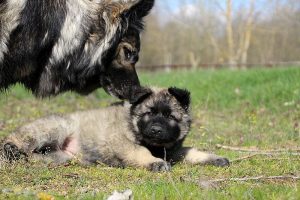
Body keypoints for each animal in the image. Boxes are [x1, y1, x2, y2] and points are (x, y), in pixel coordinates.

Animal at [2, 86, 230, 171]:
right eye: (148, 114)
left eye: (169, 116)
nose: (156, 130)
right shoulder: (121, 142)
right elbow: (140, 151)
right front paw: (155, 163)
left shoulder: (173, 150)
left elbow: (191, 151)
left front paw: (214, 158)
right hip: (54, 128)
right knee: (20, 138)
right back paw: (12, 150)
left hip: (59, 157)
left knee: (36, 156)